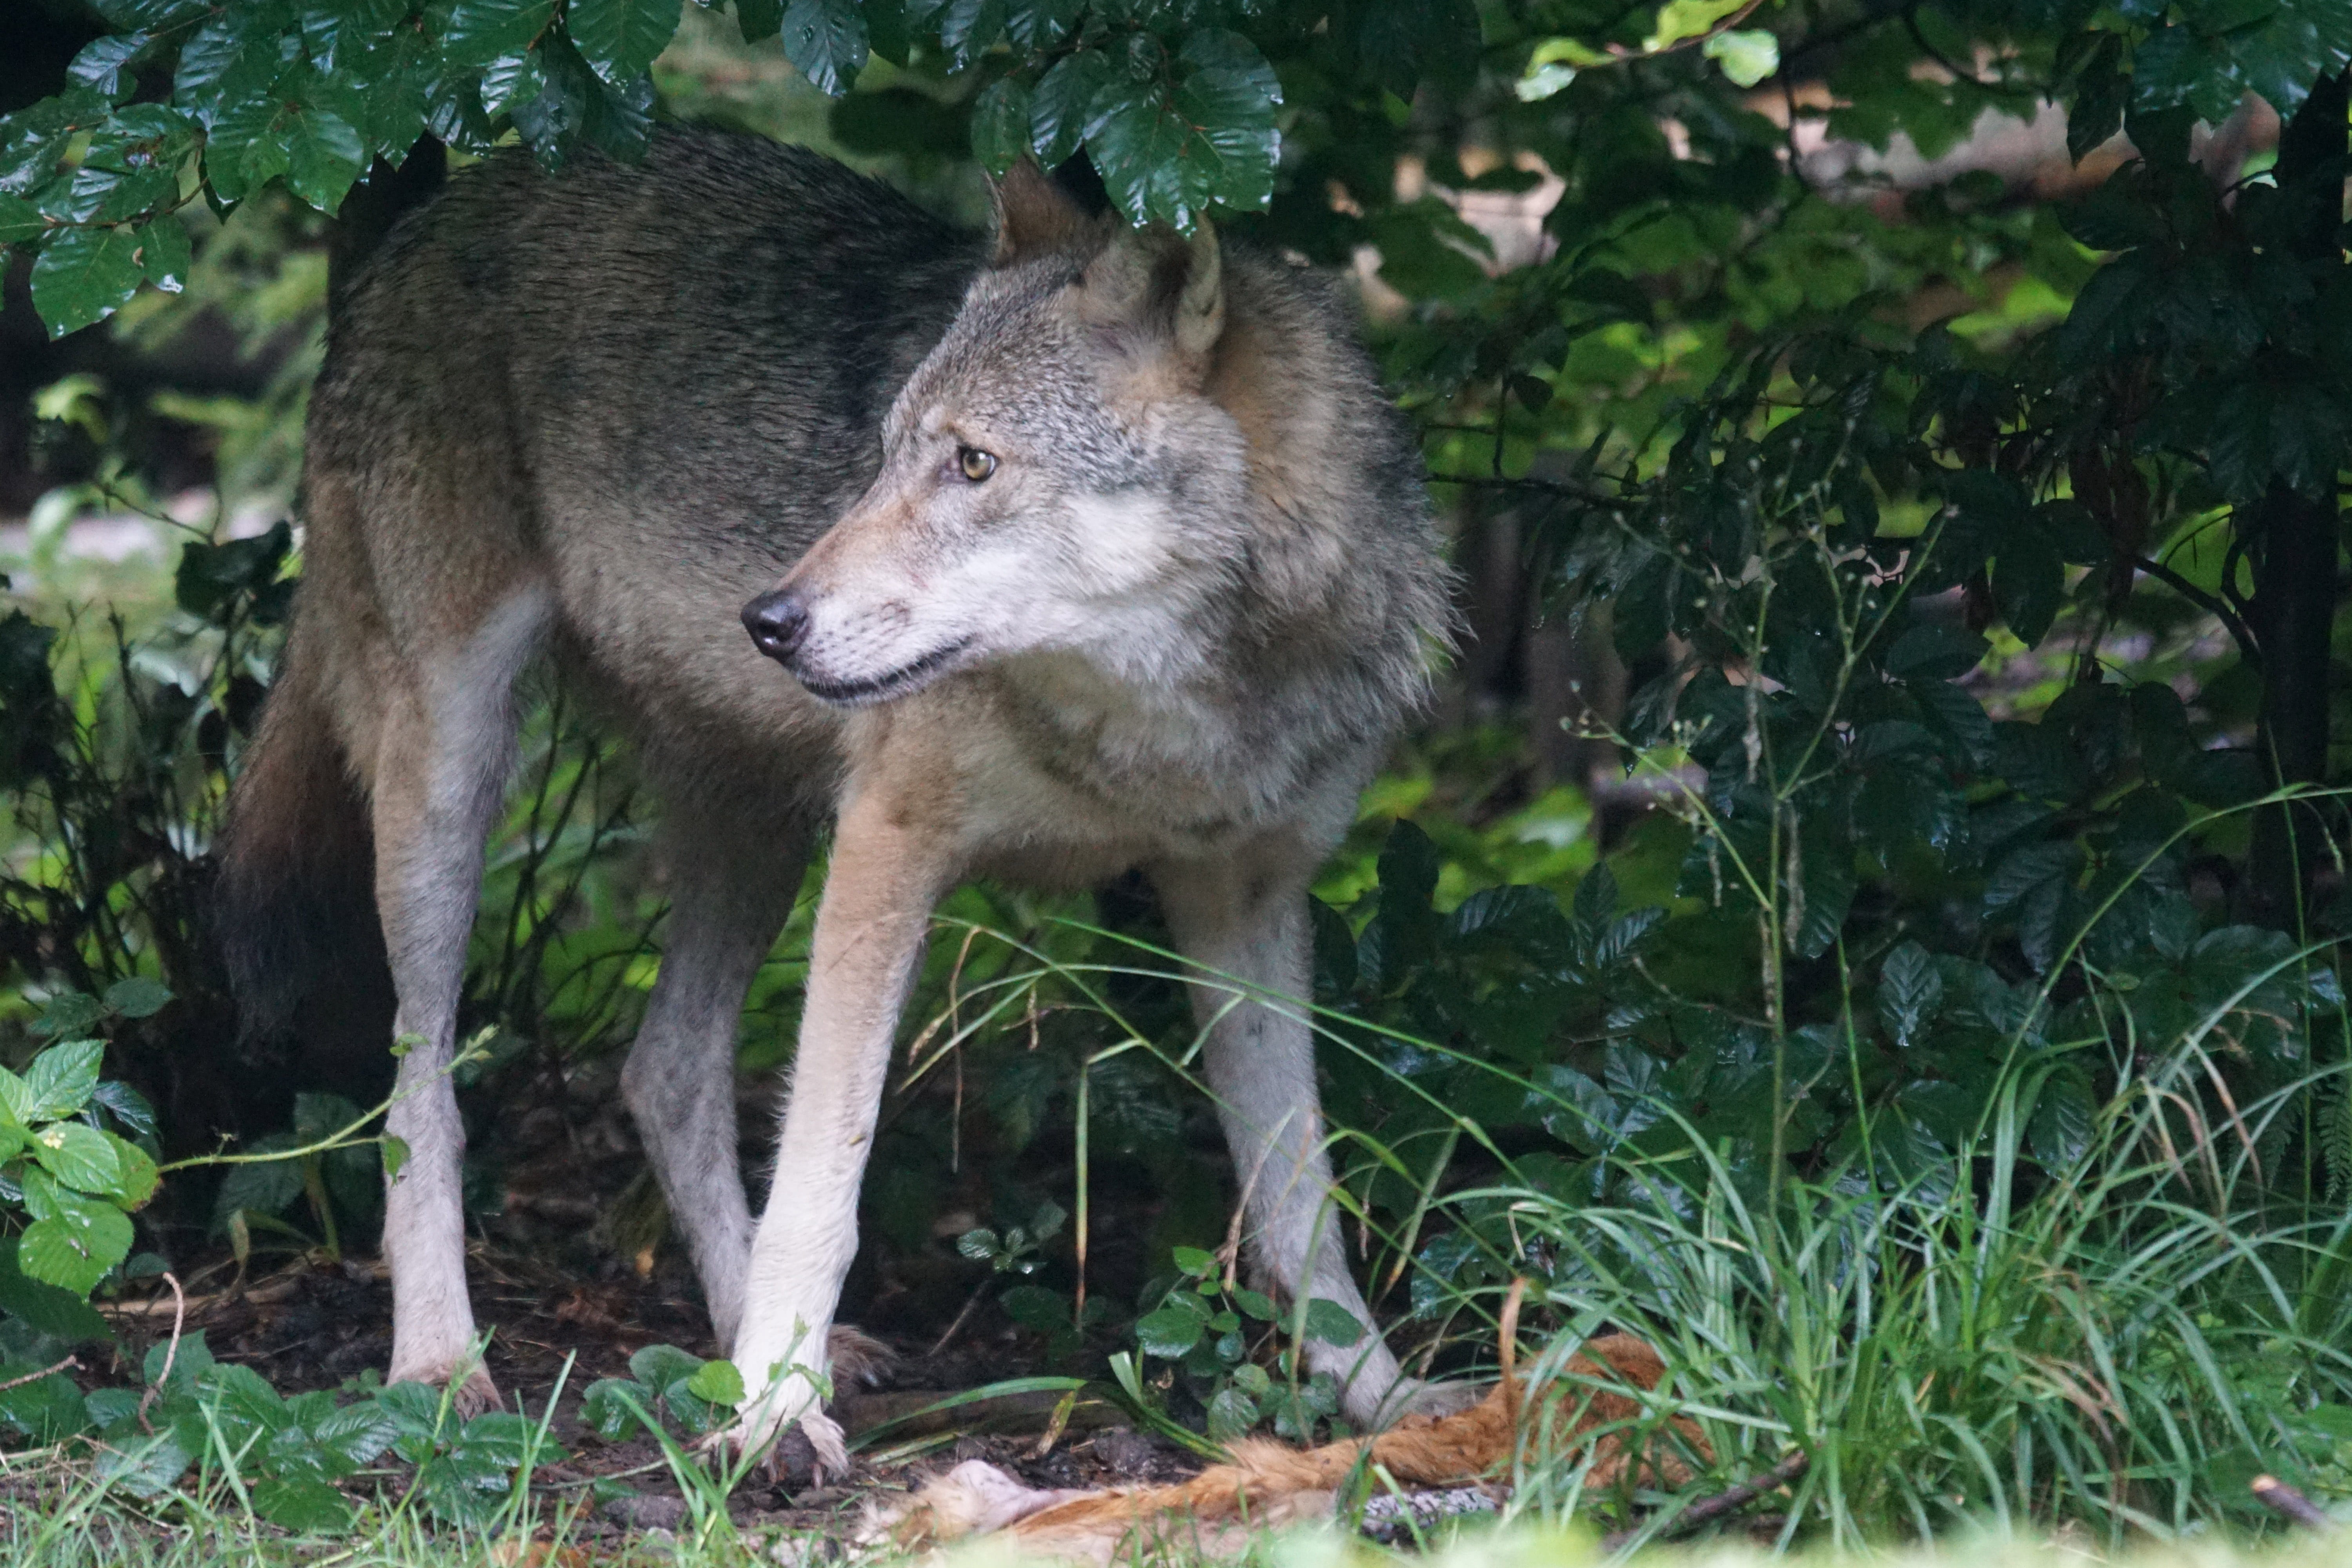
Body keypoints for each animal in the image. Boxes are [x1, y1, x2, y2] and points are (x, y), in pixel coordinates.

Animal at [215, 129, 1453, 1470]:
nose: (768, 620)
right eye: (885, 453)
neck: (1173, 719)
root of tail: (447, 206)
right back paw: (443, 1364)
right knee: (420, 1099)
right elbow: (823, 1179)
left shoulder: (1246, 895)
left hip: (753, 830)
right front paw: (770, 1411)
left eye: (973, 463)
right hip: (451, 792)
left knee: (663, 1069)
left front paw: (1382, 1399)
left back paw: (732, 1338)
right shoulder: (886, 846)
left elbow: (1300, 1199)